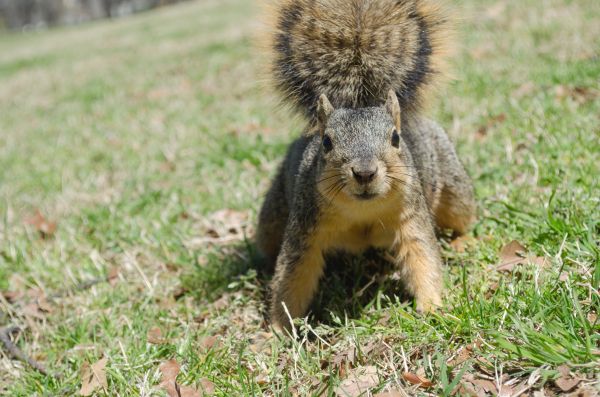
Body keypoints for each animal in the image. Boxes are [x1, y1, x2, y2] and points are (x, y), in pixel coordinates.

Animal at [255, 0, 476, 330]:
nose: (364, 173)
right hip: (272, 217)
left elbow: (422, 255)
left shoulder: (411, 215)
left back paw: (462, 242)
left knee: (461, 219)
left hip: (454, 189)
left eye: (396, 137)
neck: (363, 211)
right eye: (326, 142)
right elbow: (292, 274)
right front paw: (280, 329)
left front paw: (434, 309)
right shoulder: (304, 226)